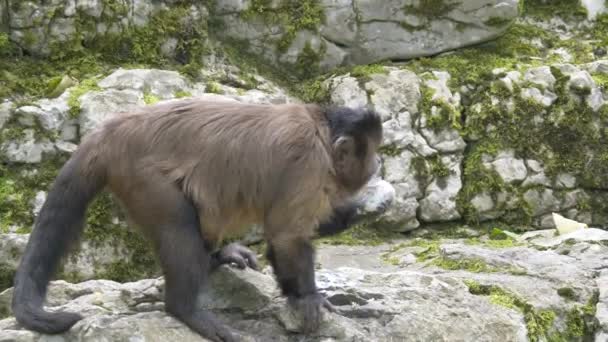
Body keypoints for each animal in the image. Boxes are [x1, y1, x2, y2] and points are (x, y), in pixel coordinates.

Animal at [10, 97, 380, 342]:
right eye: (372, 150)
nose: (377, 163)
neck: (322, 132)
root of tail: (111, 130)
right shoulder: (309, 163)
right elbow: (286, 236)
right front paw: (307, 298)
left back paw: (216, 258)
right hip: (144, 178)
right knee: (178, 225)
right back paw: (188, 311)